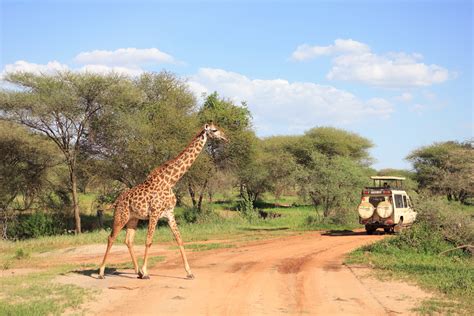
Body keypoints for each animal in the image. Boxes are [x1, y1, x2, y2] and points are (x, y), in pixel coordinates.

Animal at [97, 123, 227, 278]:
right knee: (111, 238)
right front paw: (146, 272)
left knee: (128, 240)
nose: (225, 137)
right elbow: (149, 241)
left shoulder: (169, 213)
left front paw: (189, 272)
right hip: (121, 216)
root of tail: (116, 201)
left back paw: (137, 271)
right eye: (214, 130)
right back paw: (101, 272)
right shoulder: (154, 212)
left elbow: (179, 239)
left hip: (133, 219)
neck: (170, 181)